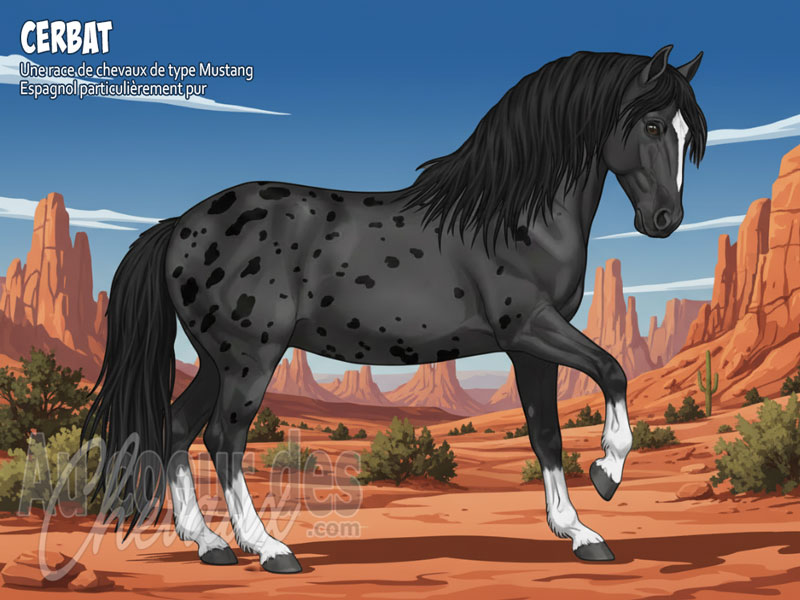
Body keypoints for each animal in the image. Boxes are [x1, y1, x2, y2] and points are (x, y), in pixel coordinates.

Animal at [84, 45, 707, 573]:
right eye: (653, 125)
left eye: (686, 133)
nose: (665, 220)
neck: (513, 216)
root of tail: (178, 227)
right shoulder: (531, 328)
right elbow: (612, 370)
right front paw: (608, 473)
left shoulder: (529, 350)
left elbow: (546, 435)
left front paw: (579, 533)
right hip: (248, 359)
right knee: (222, 439)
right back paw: (268, 548)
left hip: (218, 360)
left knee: (176, 427)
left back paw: (209, 544)